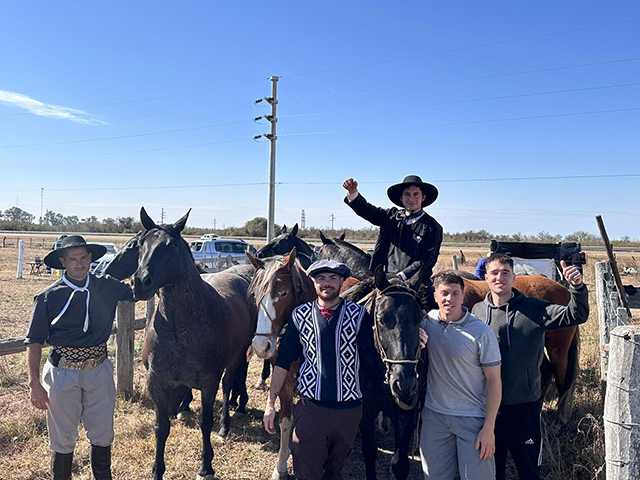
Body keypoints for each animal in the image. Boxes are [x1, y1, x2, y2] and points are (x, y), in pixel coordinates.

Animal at [133, 207, 258, 480]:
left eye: (170, 246)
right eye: (140, 244)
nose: (140, 282)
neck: (178, 327)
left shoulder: (209, 382)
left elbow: (205, 422)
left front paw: (206, 466)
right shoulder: (157, 381)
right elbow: (161, 427)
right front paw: (157, 470)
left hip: (235, 358)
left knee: (229, 385)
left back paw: (225, 426)